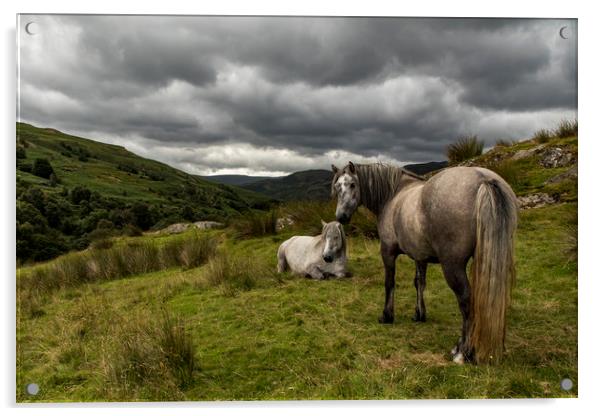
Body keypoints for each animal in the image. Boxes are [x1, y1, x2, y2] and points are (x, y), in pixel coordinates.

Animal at [328, 162, 516, 364]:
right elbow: (419, 283)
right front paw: (419, 314)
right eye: (337, 187)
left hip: (453, 266)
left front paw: (387, 316)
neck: (394, 194)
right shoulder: (420, 256)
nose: (341, 217)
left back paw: (462, 352)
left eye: (352, 184)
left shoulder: (388, 251)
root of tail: (484, 179)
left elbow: (389, 283)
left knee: (466, 300)